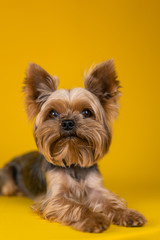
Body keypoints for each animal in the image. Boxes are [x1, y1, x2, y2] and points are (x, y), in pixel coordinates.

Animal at [0, 60, 146, 232]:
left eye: (86, 112)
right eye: (53, 113)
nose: (68, 122)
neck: (73, 158)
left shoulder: (96, 188)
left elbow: (110, 201)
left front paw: (127, 214)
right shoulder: (55, 198)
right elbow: (76, 206)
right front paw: (95, 219)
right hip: (8, 178)